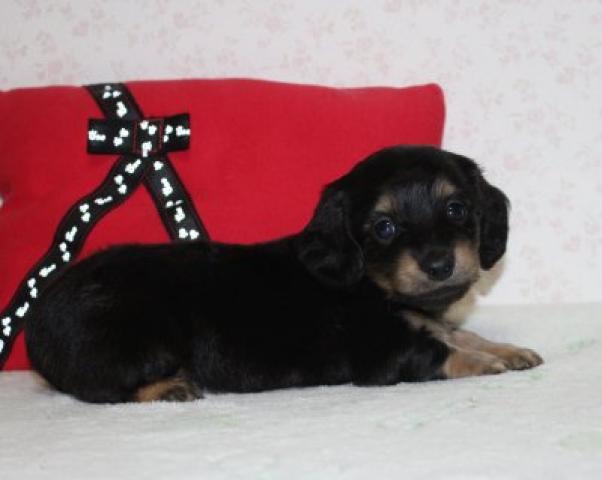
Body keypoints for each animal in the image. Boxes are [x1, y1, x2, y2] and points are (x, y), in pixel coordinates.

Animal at [25, 146, 543, 403]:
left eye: (456, 208)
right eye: (384, 227)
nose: (439, 265)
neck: (371, 286)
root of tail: (37, 324)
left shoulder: (424, 319)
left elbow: (459, 334)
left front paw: (507, 350)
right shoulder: (383, 351)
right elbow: (442, 351)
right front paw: (486, 364)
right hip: (139, 340)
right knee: (100, 386)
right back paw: (169, 386)